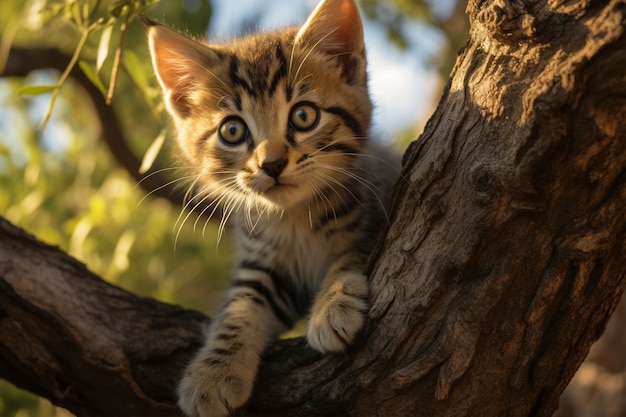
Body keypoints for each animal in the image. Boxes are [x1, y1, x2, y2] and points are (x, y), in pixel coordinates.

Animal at [144, 1, 398, 414]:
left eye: (304, 116)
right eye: (232, 131)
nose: (272, 164)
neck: (295, 218)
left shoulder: (377, 209)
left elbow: (350, 255)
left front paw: (333, 304)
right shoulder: (263, 265)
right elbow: (240, 306)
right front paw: (214, 372)